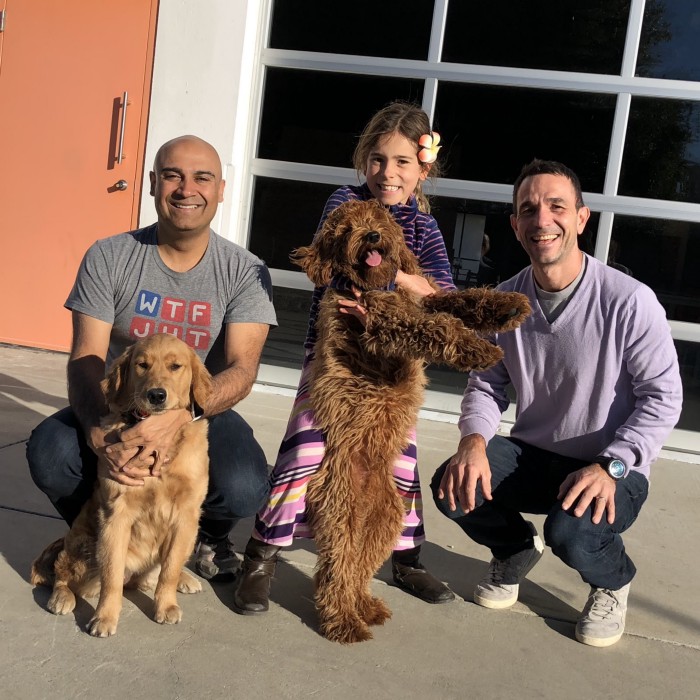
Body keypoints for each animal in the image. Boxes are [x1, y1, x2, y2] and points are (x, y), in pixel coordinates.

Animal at [30, 332, 211, 636]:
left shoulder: (187, 515)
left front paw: (165, 605)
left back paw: (185, 579)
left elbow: (170, 569)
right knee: (63, 576)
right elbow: (111, 576)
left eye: (176, 366)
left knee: (160, 571)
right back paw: (61, 597)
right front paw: (104, 617)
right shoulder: (116, 515)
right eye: (142, 365)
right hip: (84, 545)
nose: (156, 395)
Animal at [292, 198, 532, 644]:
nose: (371, 235)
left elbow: (456, 299)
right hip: (342, 516)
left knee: (357, 569)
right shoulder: (384, 322)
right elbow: (436, 326)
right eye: (346, 228)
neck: (374, 285)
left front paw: (507, 305)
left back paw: (365, 606)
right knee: (336, 571)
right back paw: (344, 622)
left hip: (386, 522)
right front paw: (478, 349)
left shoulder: (418, 296)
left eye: (379, 220)